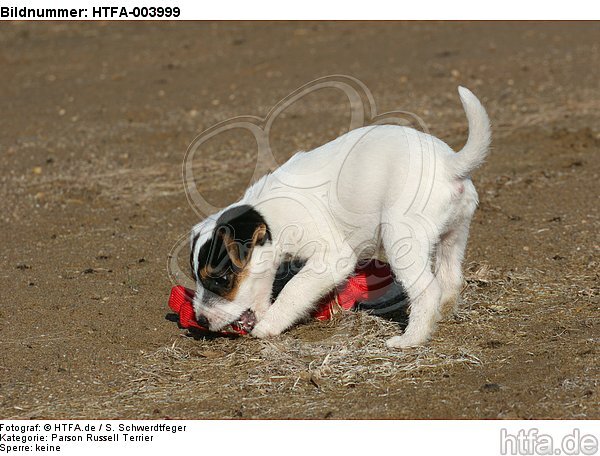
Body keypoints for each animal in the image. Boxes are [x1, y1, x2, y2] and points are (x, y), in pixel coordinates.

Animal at [190, 85, 490, 348]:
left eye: (221, 279)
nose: (201, 320)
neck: (269, 215)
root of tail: (449, 165)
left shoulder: (332, 257)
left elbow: (294, 290)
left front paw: (269, 326)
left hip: (402, 239)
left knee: (427, 291)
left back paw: (410, 339)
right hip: (454, 235)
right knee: (450, 278)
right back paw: (444, 313)